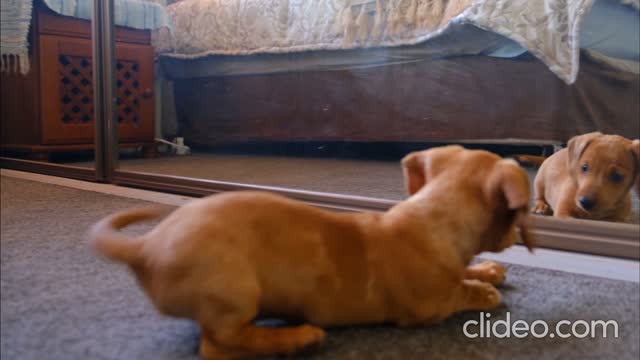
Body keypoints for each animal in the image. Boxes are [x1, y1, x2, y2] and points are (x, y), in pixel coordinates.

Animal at [87, 145, 532, 358]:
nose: (513, 238)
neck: (432, 217)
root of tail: (145, 247)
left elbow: (465, 270)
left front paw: (487, 270)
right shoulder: (429, 307)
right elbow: (459, 292)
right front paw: (484, 292)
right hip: (235, 293)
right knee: (218, 346)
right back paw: (296, 338)